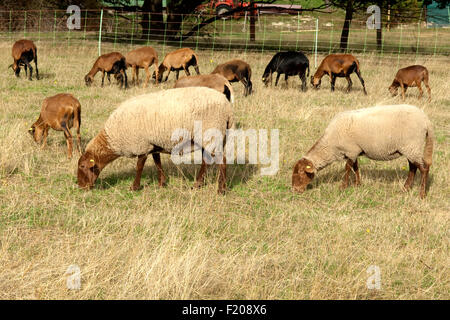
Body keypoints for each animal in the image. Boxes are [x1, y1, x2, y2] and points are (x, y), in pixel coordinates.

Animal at [77, 86, 234, 194]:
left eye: (82, 166)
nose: (80, 186)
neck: (113, 138)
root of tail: (227, 107)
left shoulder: (141, 145)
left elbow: (139, 166)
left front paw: (134, 187)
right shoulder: (153, 144)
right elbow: (157, 163)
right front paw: (161, 183)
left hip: (211, 132)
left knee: (222, 160)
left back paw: (221, 190)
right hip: (208, 137)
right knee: (206, 160)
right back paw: (197, 185)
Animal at [290, 104, 434, 198]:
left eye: (301, 173)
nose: (295, 190)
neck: (330, 146)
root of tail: (426, 120)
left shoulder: (351, 150)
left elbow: (347, 168)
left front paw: (343, 186)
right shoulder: (354, 151)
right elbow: (356, 167)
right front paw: (358, 184)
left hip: (412, 145)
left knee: (424, 168)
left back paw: (421, 194)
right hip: (411, 148)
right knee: (413, 167)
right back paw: (405, 188)